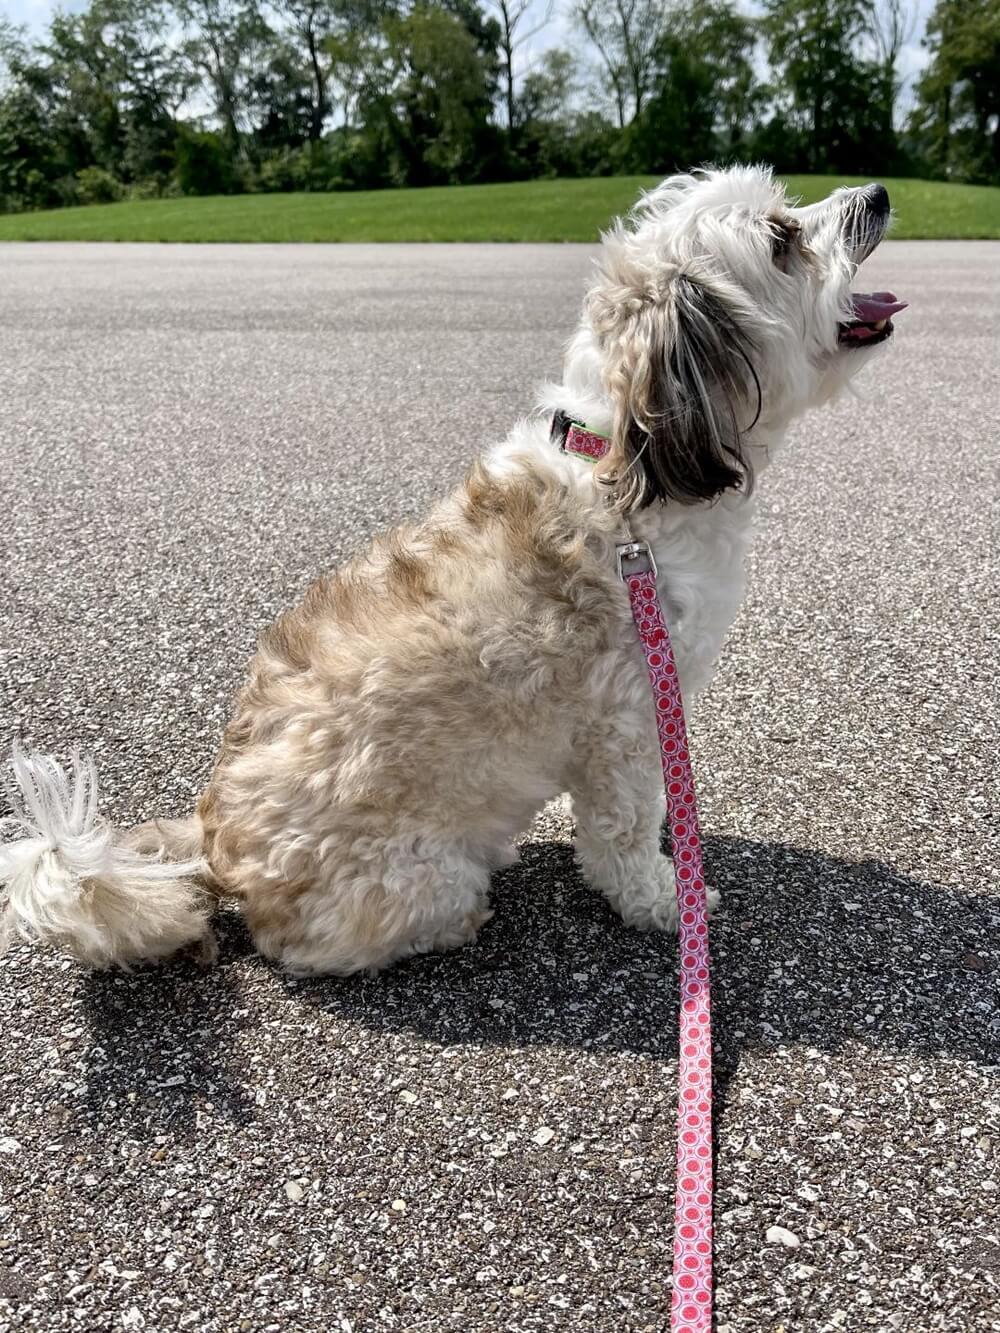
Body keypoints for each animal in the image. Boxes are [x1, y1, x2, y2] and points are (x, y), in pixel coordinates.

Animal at [1, 166, 906, 981]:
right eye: (783, 239)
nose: (879, 192)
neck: (627, 466)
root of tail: (216, 846)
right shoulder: (629, 724)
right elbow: (625, 834)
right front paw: (663, 901)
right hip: (411, 876)